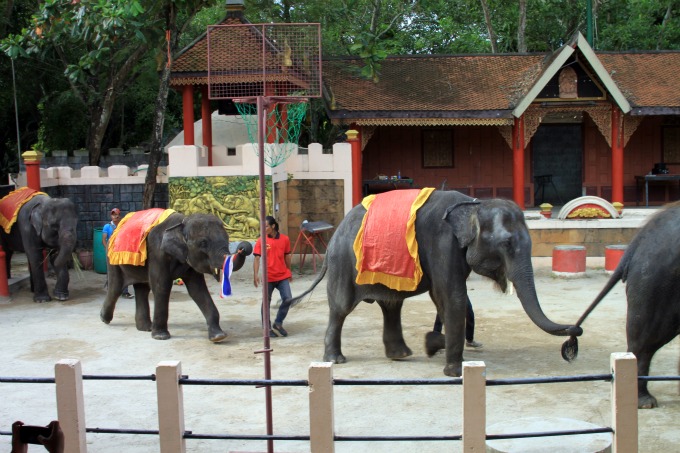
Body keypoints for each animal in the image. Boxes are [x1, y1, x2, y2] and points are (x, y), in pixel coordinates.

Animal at [99, 210, 251, 340]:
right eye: (203, 243)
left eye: (227, 238)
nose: (243, 248)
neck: (182, 222)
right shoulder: (157, 253)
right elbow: (161, 287)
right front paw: (161, 336)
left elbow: (198, 290)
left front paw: (218, 336)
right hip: (111, 259)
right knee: (116, 287)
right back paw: (104, 319)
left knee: (142, 288)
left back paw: (145, 328)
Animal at [290, 189, 580, 376]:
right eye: (507, 244)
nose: (575, 332)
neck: (474, 206)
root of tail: (336, 232)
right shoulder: (442, 243)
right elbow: (452, 297)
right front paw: (451, 367)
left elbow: (444, 299)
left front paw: (433, 345)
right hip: (343, 262)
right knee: (341, 308)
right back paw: (336, 360)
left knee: (391, 306)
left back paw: (401, 355)